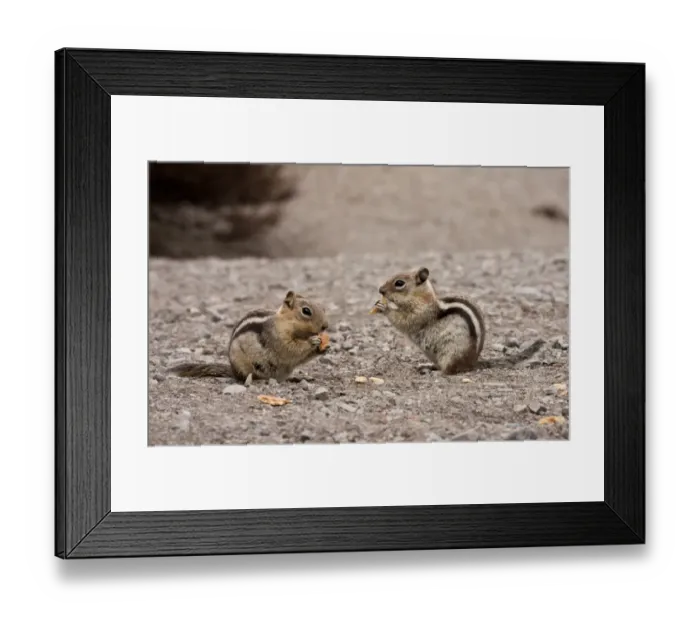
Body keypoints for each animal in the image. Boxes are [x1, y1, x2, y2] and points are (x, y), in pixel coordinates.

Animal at [169, 290, 331, 383]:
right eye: (306, 311)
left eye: (323, 308)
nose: (325, 326)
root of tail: (233, 371)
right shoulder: (277, 337)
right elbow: (291, 348)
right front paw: (313, 341)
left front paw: (325, 347)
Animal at [370, 266, 544, 374]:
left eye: (399, 283)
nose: (380, 290)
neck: (422, 298)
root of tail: (472, 363)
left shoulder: (421, 313)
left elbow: (404, 321)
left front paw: (385, 308)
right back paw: (427, 366)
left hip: (451, 354)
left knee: (449, 370)